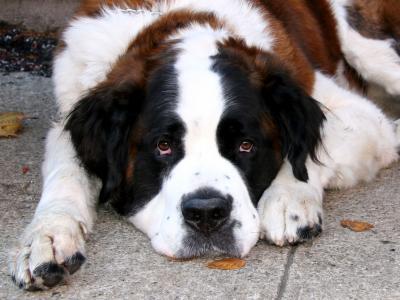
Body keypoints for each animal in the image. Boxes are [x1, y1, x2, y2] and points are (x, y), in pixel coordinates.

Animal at [8, 0, 400, 290]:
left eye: (246, 146)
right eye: (164, 146)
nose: (208, 213)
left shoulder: (358, 114)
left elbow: (307, 152)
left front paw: (288, 199)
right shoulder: (68, 115)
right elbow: (66, 173)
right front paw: (48, 236)